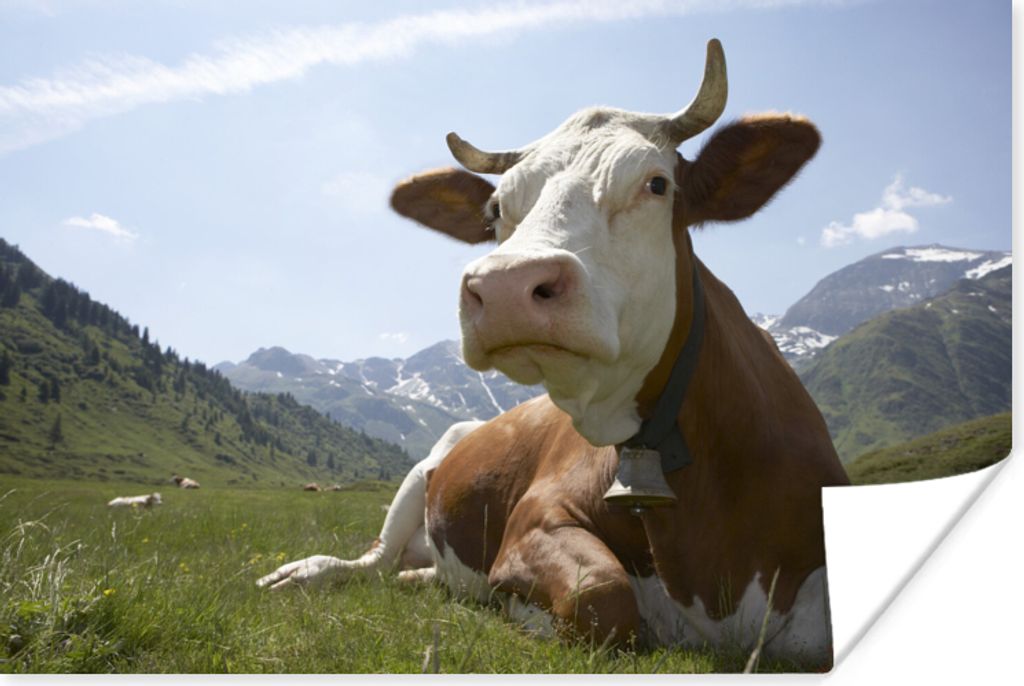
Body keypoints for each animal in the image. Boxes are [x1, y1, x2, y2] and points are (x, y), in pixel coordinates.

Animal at [257, 39, 849, 668]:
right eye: (495, 210)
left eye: (656, 185)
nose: (505, 286)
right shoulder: (533, 520)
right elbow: (602, 596)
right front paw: (511, 609)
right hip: (419, 475)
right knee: (369, 562)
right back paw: (307, 573)